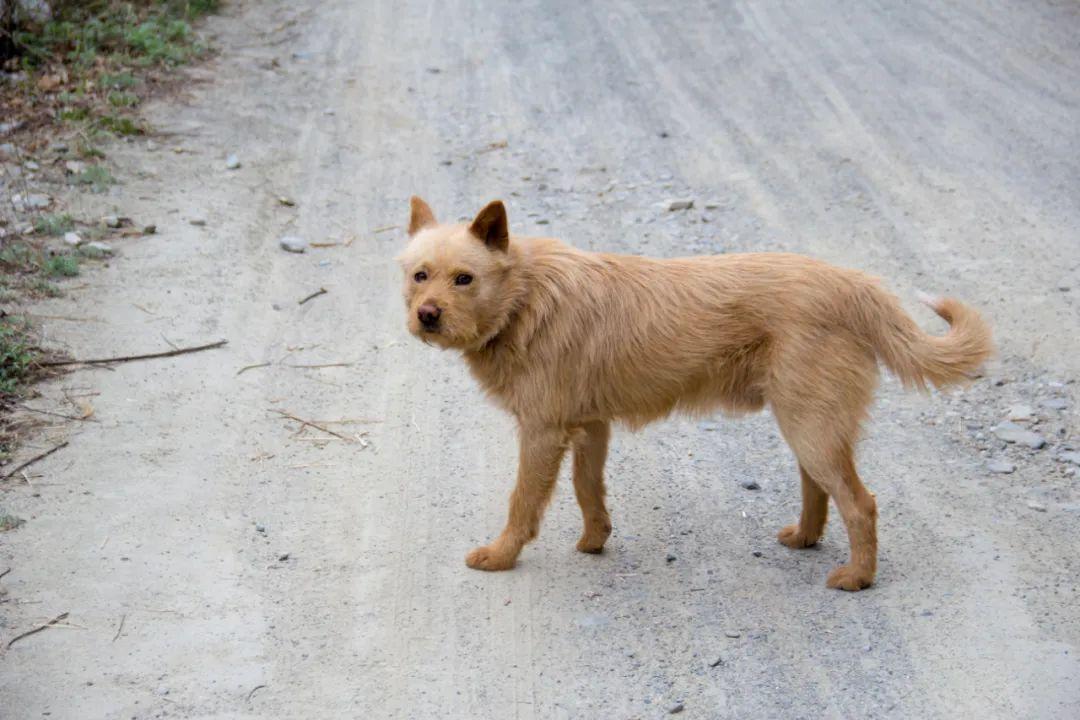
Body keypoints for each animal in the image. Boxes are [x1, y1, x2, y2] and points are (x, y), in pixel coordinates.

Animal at [401, 195, 989, 591]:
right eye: (419, 275)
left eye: (464, 278)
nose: (426, 316)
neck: (523, 298)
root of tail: (854, 284)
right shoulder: (590, 426)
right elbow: (589, 490)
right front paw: (595, 542)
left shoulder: (543, 432)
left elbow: (523, 501)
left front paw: (502, 555)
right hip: (807, 422)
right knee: (819, 489)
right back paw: (805, 538)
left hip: (811, 426)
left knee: (860, 503)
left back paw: (858, 577)